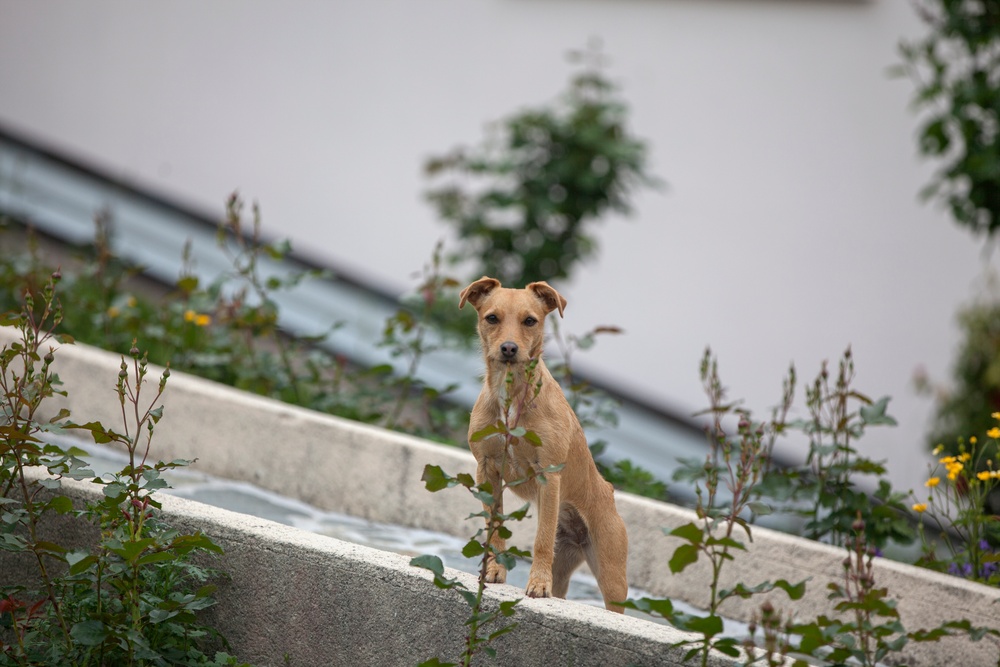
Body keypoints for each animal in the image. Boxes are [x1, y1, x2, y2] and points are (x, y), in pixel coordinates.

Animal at [458, 274, 624, 612]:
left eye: (530, 321)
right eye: (491, 318)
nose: (509, 348)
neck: (512, 397)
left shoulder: (548, 474)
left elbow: (541, 539)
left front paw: (537, 584)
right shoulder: (487, 469)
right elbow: (494, 527)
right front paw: (494, 570)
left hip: (613, 577)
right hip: (567, 565)